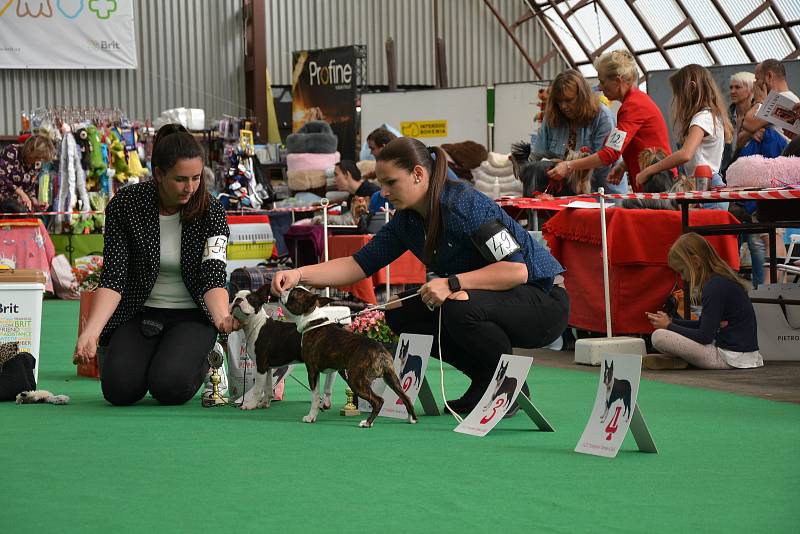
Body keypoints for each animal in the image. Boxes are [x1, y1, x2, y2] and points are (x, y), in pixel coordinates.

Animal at [282, 286, 418, 430]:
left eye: (293, 294)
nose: (285, 289)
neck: (312, 320)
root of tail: (380, 351)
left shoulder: (312, 370)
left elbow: (315, 396)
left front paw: (311, 417)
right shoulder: (339, 369)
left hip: (356, 381)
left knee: (378, 401)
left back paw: (368, 422)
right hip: (391, 377)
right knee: (405, 397)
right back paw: (412, 418)